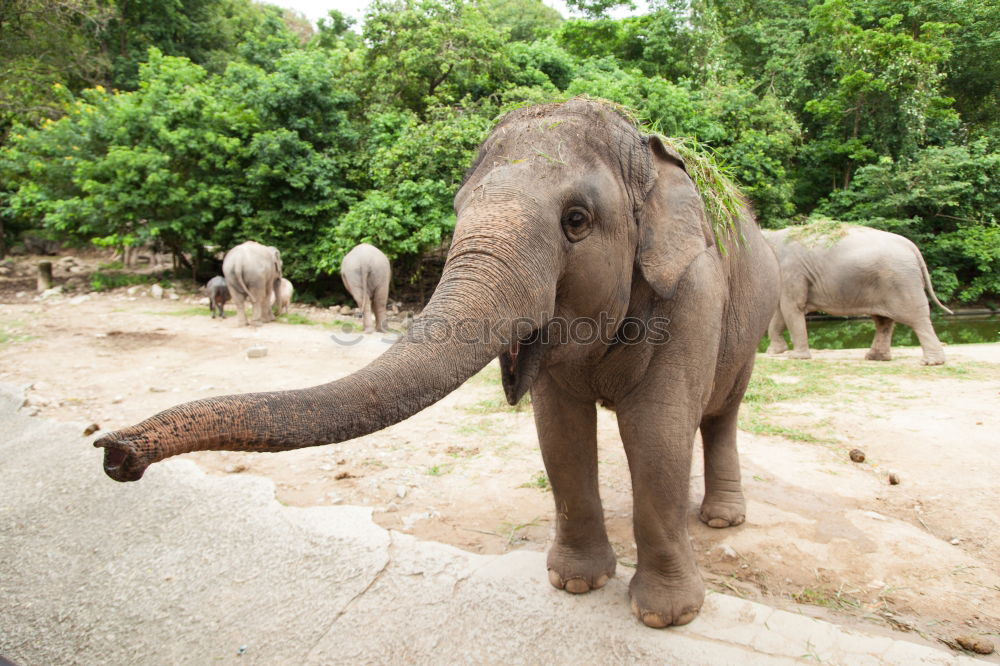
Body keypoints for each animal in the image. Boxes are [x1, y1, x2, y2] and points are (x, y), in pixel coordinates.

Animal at [95, 98, 780, 628]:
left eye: (577, 221)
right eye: (456, 212)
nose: (113, 451)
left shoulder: (692, 295)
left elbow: (657, 431)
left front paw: (664, 617)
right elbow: (559, 432)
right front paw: (574, 585)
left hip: (749, 325)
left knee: (720, 414)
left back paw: (721, 520)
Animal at [764, 220, 952, 364]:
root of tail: (912, 246)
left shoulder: (792, 271)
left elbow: (792, 307)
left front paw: (795, 357)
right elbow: (781, 311)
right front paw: (774, 352)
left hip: (902, 281)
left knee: (916, 318)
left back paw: (931, 362)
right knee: (883, 321)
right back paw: (875, 358)